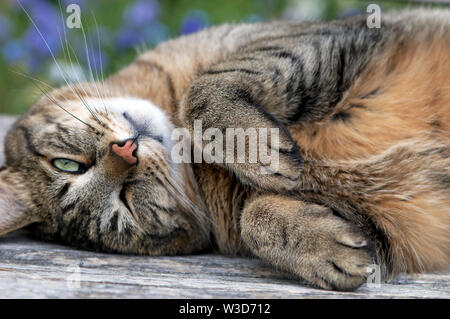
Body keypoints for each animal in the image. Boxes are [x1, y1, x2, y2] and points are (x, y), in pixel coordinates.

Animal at [0, 8, 450, 292]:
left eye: (67, 164)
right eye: (126, 206)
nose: (125, 151)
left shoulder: (295, 40)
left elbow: (202, 89)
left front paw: (253, 147)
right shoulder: (395, 224)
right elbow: (256, 217)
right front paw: (322, 249)